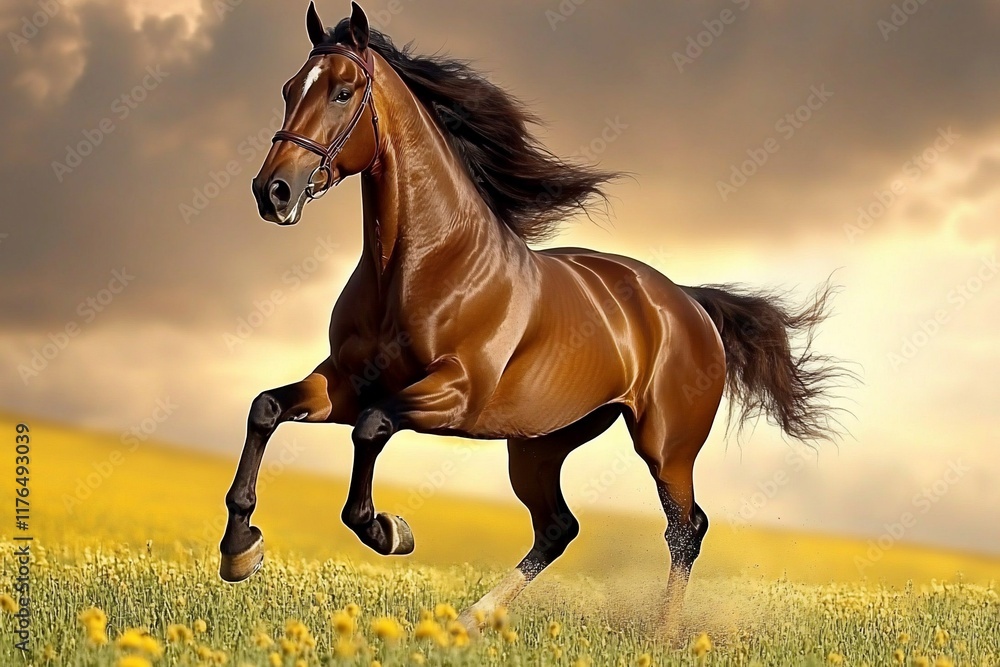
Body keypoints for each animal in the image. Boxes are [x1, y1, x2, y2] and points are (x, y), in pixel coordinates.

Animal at [220, 1, 847, 632]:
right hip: (539, 446)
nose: (272, 191)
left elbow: (371, 428)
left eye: (343, 92)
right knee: (558, 527)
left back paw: (663, 635)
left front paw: (390, 531)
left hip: (666, 448)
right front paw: (240, 550)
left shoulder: (453, 395)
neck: (420, 264)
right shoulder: (345, 382)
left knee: (685, 528)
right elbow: (266, 408)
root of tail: (688, 303)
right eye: (288, 89)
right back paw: (472, 619)